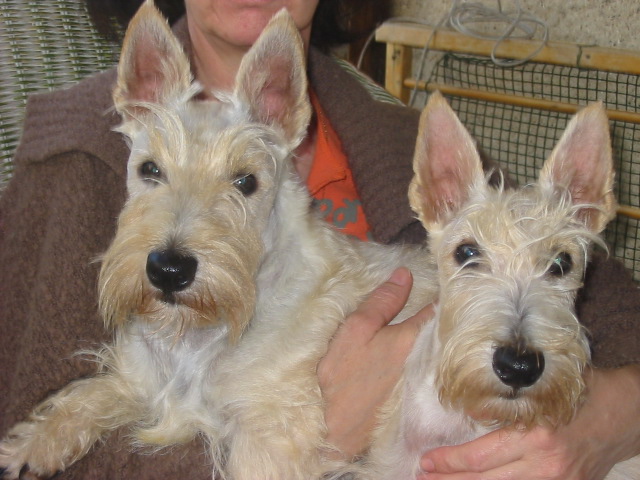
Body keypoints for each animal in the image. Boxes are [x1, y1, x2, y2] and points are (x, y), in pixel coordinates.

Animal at [0, 1, 310, 478]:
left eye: (246, 181)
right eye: (150, 169)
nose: (169, 269)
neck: (196, 338)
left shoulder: (273, 434)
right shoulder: (145, 380)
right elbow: (93, 394)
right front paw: (33, 443)